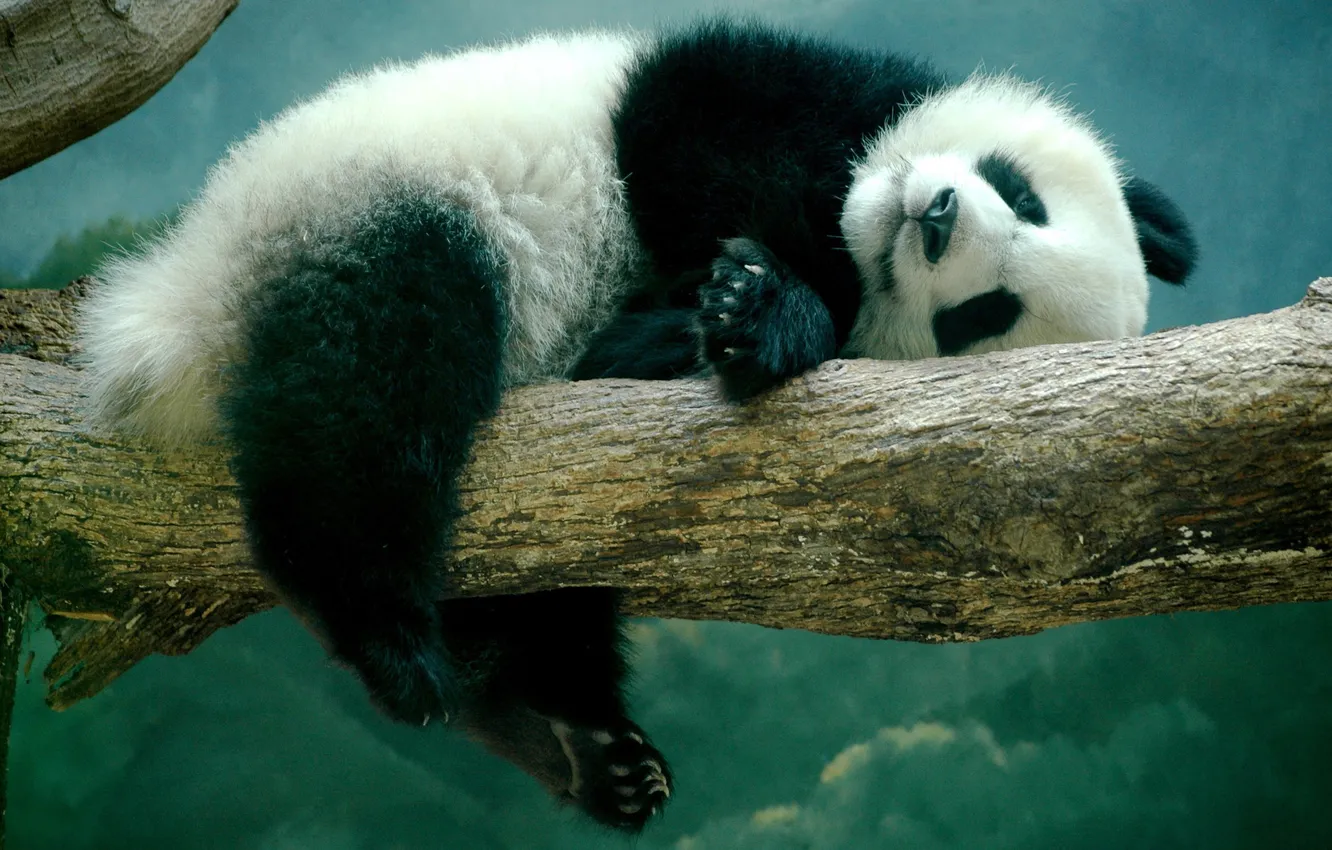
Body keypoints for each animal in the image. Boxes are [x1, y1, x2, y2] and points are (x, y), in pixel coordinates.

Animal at [77, 18, 1195, 832]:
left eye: (984, 315)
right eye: (1022, 191)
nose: (935, 218)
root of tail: (180, 310)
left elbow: (624, 356)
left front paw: (735, 317)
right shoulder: (756, 88)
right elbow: (701, 129)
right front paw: (762, 294)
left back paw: (568, 739)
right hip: (362, 202)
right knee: (369, 389)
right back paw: (396, 643)